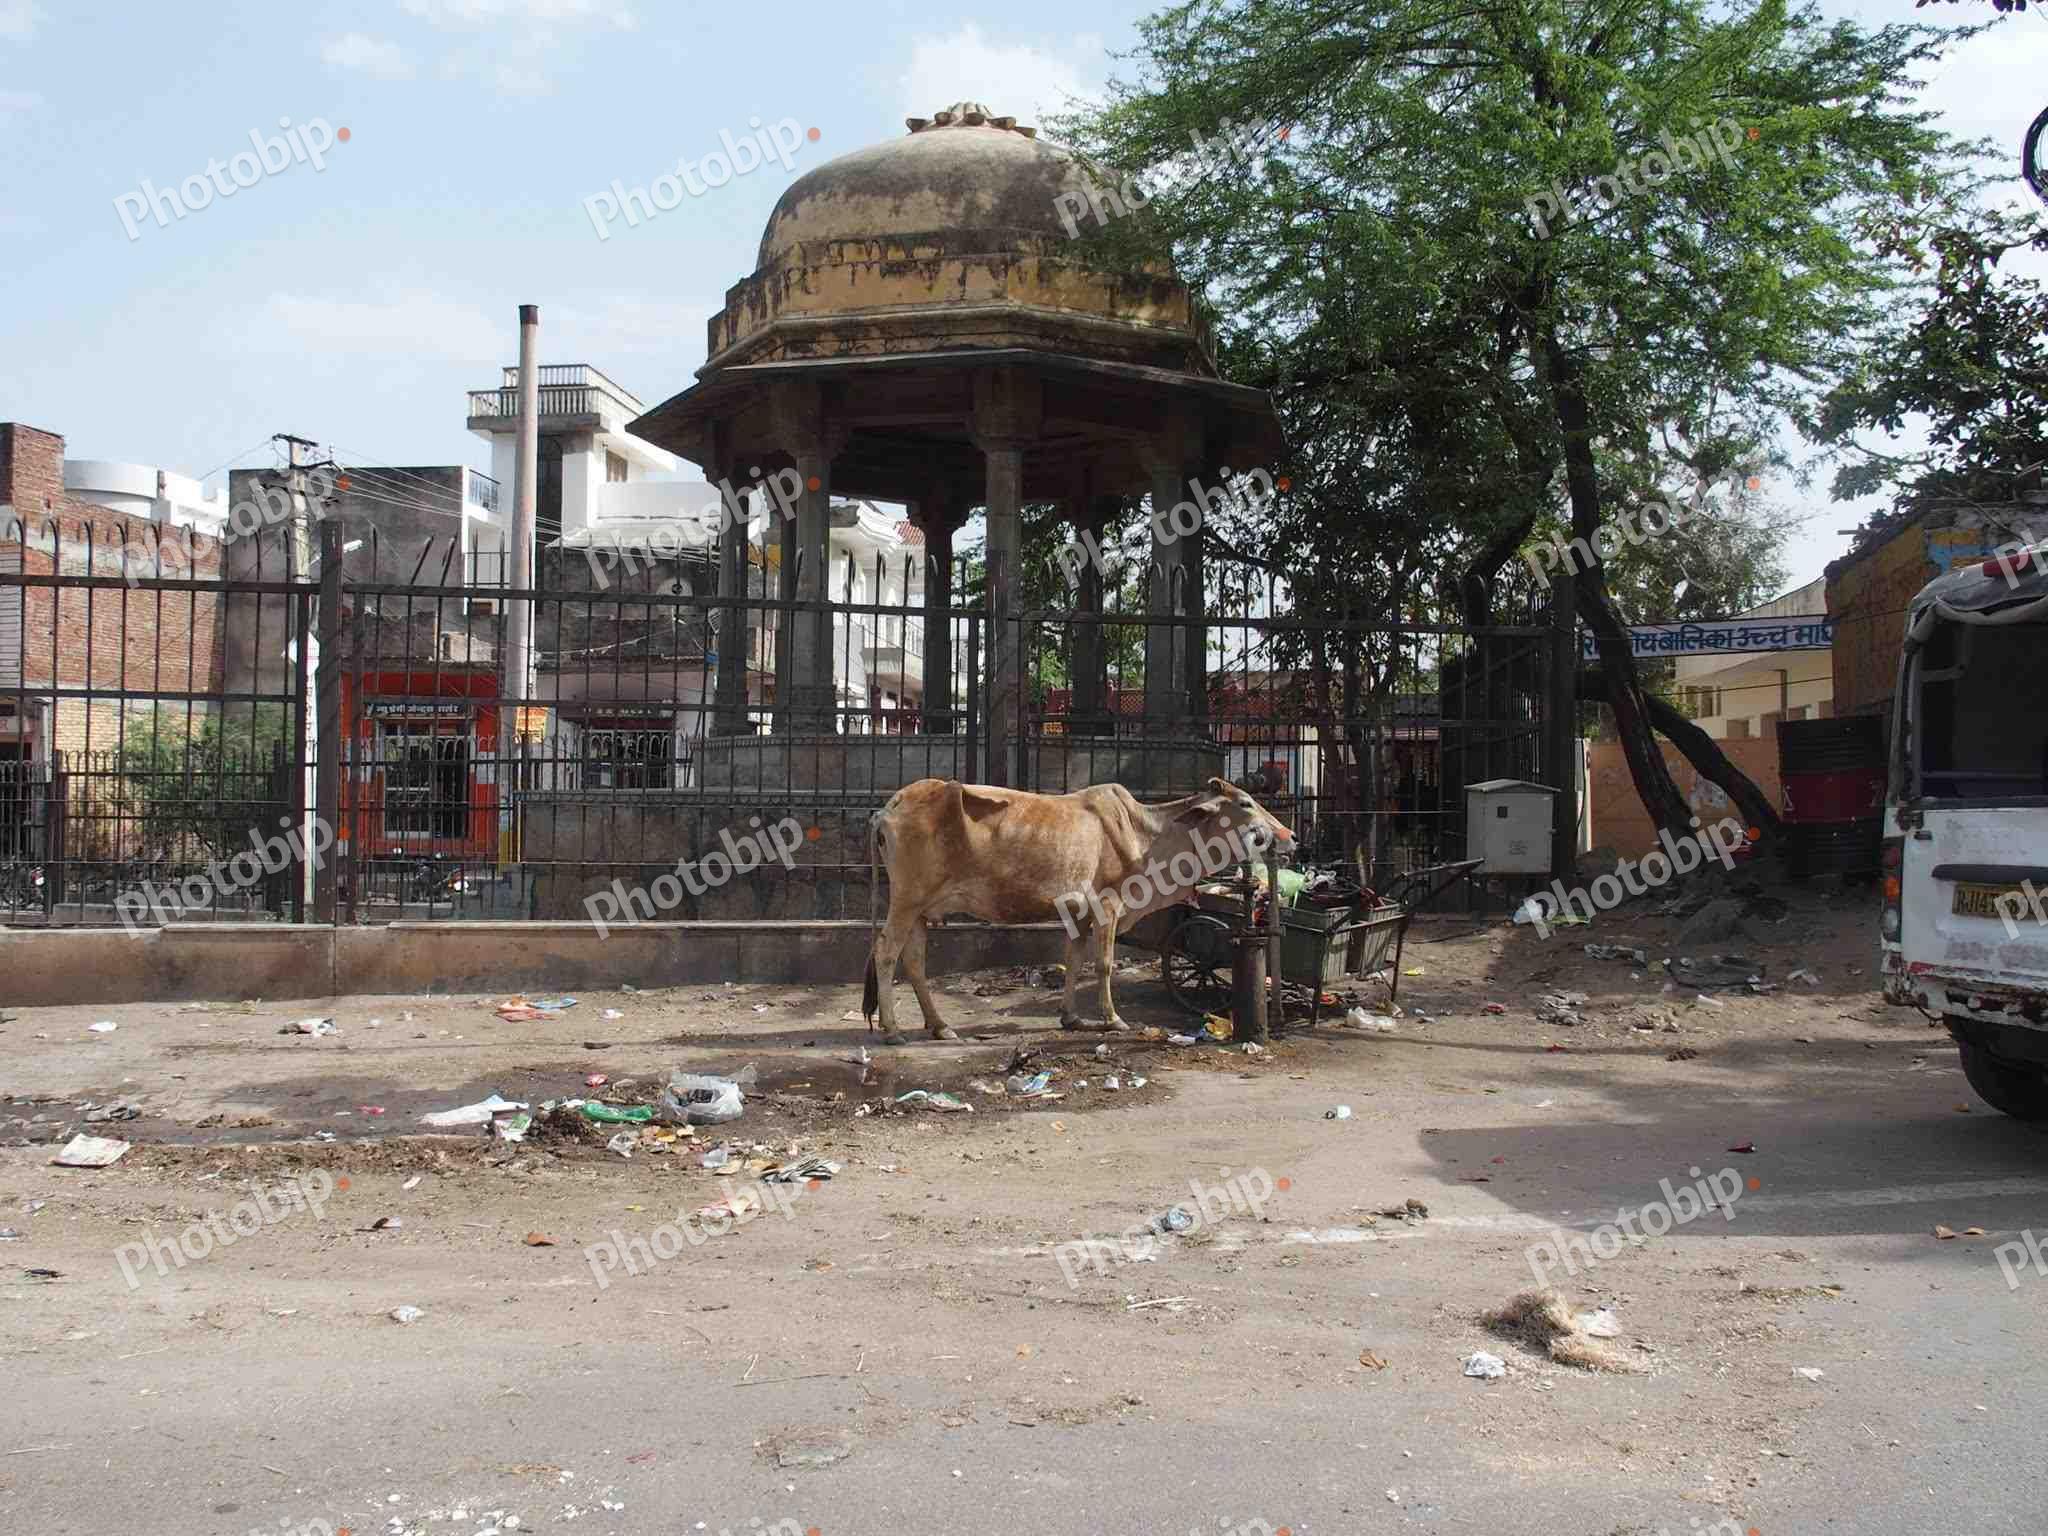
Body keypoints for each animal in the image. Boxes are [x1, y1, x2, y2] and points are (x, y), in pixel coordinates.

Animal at [861, 776, 1295, 1045]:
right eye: (1245, 803)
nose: (1288, 835)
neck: (1148, 835)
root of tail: (890, 806)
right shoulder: (1109, 905)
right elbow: (1102, 965)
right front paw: (1112, 1019)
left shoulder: (1081, 915)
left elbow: (1074, 961)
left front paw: (1071, 1017)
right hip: (907, 901)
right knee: (885, 952)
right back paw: (893, 1030)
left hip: (920, 910)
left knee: (914, 962)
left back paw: (939, 1026)